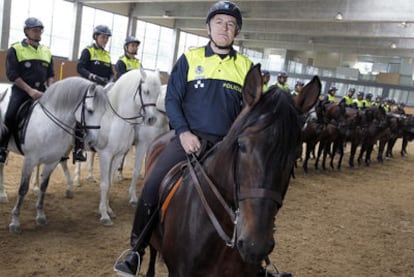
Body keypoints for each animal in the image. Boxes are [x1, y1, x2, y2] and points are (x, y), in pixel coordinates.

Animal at [0, 77, 108, 233]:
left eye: (104, 111)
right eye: (90, 110)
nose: (94, 142)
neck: (50, 124)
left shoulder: (52, 161)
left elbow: (44, 187)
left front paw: (40, 215)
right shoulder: (30, 160)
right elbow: (23, 189)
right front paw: (15, 222)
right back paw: (3, 194)